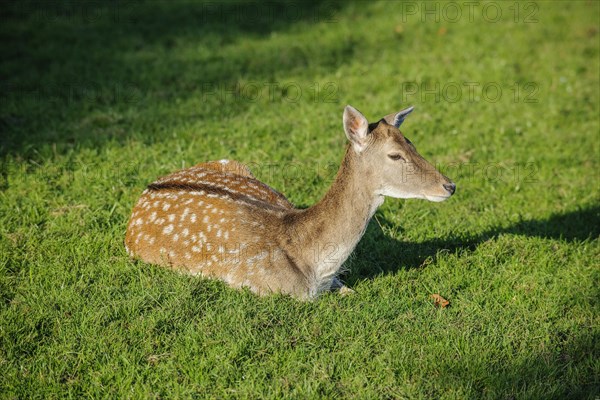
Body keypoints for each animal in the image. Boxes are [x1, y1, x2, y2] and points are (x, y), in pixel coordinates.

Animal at [125, 104, 454, 298]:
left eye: (412, 144)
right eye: (395, 155)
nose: (449, 185)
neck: (317, 270)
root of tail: (144, 192)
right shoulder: (263, 287)